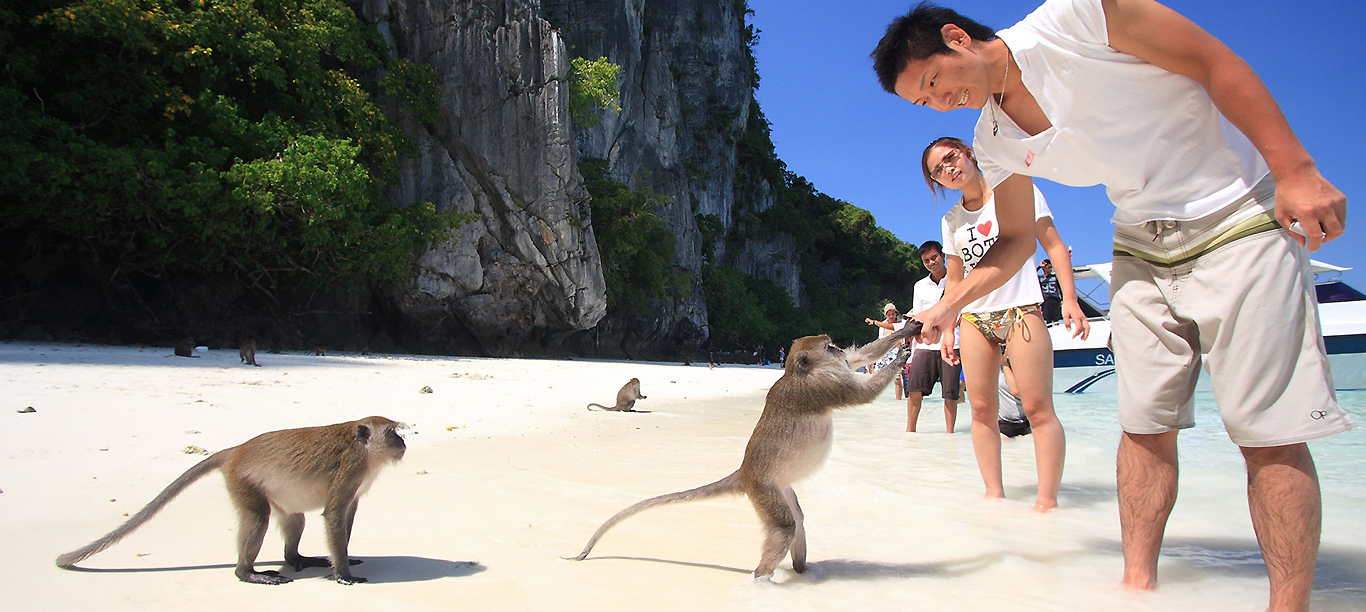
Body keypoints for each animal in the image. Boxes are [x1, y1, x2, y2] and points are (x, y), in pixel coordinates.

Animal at [56, 415, 404, 584]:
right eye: (392, 432)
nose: (402, 441)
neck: (365, 452)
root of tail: (235, 451)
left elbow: (345, 515)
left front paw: (342, 557)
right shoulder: (351, 467)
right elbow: (333, 513)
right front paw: (343, 574)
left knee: (294, 518)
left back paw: (296, 557)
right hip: (243, 482)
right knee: (257, 518)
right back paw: (245, 572)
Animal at [565, 319, 917, 579]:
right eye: (828, 345)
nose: (839, 348)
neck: (799, 372)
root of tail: (744, 472)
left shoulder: (836, 371)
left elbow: (862, 358)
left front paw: (907, 333)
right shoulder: (826, 386)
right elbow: (863, 392)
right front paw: (902, 358)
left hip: (778, 489)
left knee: (796, 518)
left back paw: (801, 568)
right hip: (765, 491)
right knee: (785, 526)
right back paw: (761, 578)